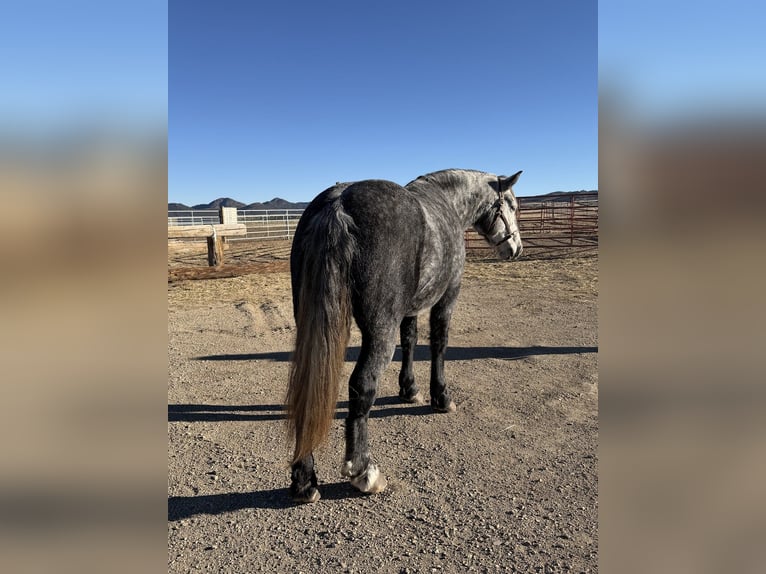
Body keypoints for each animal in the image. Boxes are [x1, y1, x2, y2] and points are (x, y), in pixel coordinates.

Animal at [285, 168, 523, 503]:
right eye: (512, 205)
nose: (515, 248)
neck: (448, 202)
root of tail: (338, 205)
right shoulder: (447, 296)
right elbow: (438, 343)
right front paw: (441, 397)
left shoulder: (410, 308)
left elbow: (410, 341)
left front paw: (409, 389)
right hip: (379, 331)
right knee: (362, 385)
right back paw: (364, 472)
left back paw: (304, 480)